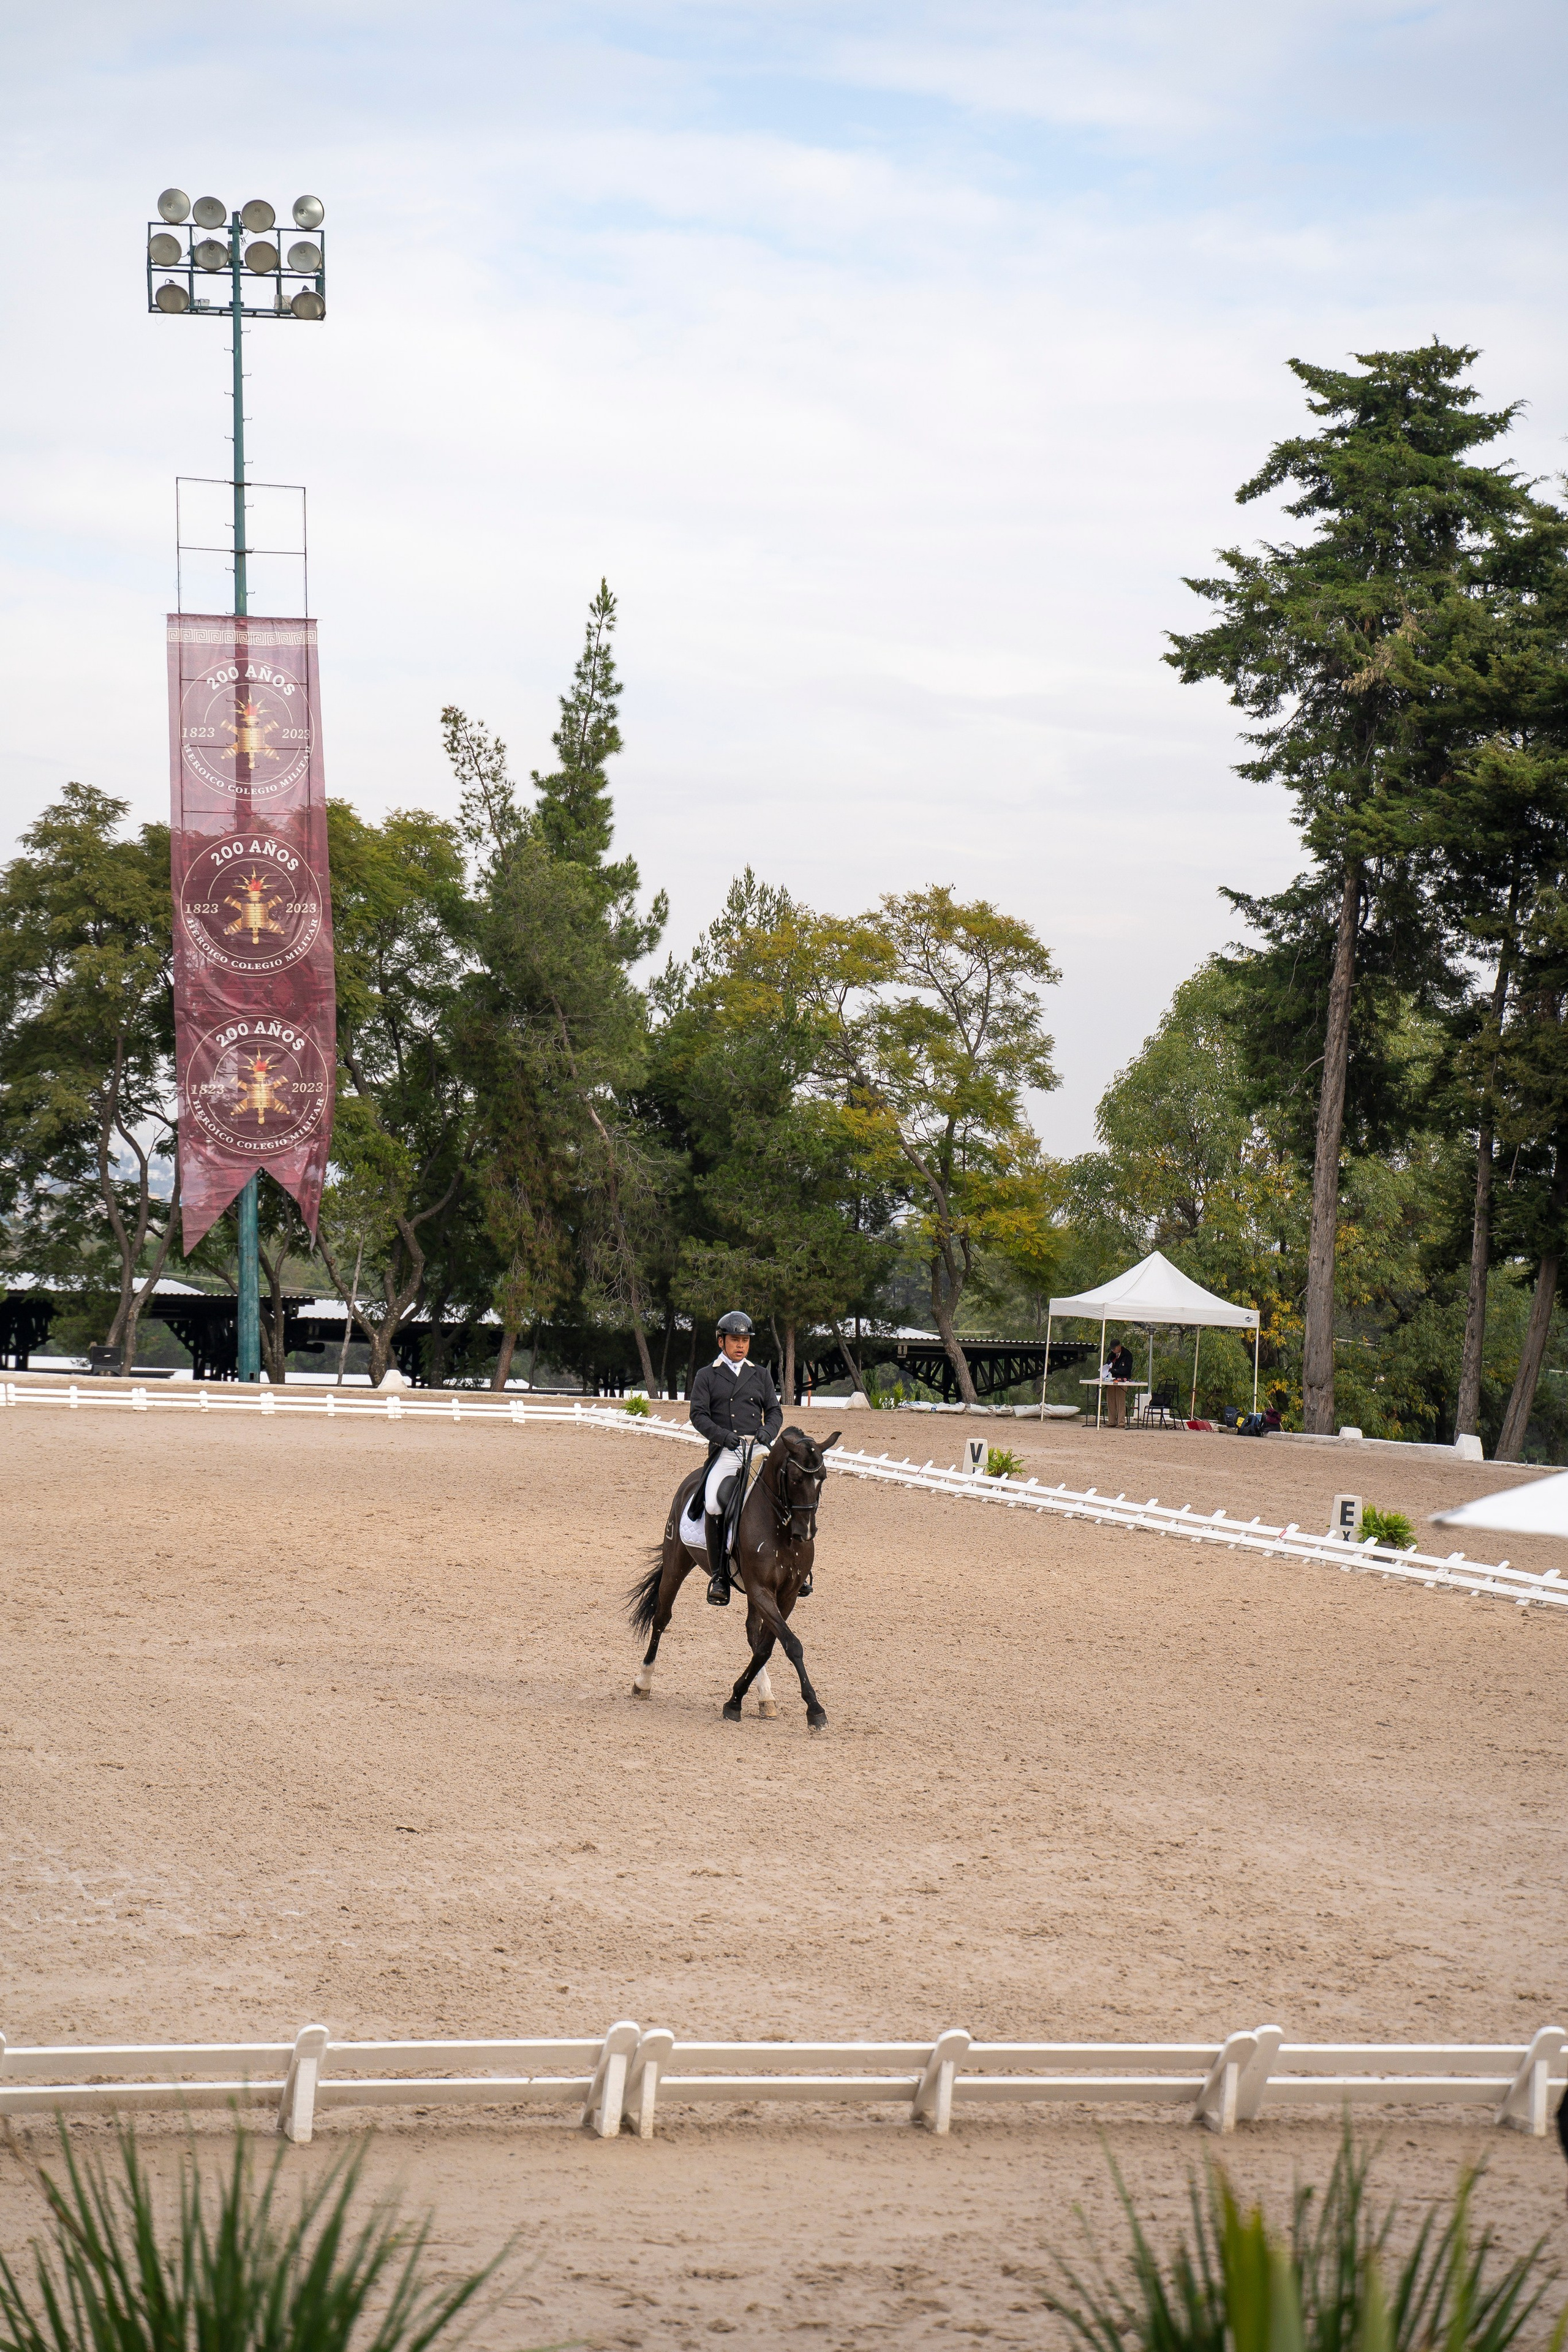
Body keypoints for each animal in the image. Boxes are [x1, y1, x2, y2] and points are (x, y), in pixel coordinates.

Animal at [625, 1425, 843, 1732]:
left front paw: (738, 1699)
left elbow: (767, 1646)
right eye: (797, 1478)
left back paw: (766, 1697)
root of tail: (692, 1481)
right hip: (677, 1564)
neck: (781, 1528)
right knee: (662, 1617)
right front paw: (814, 1709)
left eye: (822, 1478)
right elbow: (791, 1645)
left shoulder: (785, 1595)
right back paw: (643, 1682)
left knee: (753, 1632)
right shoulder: (761, 1589)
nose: (807, 1532)